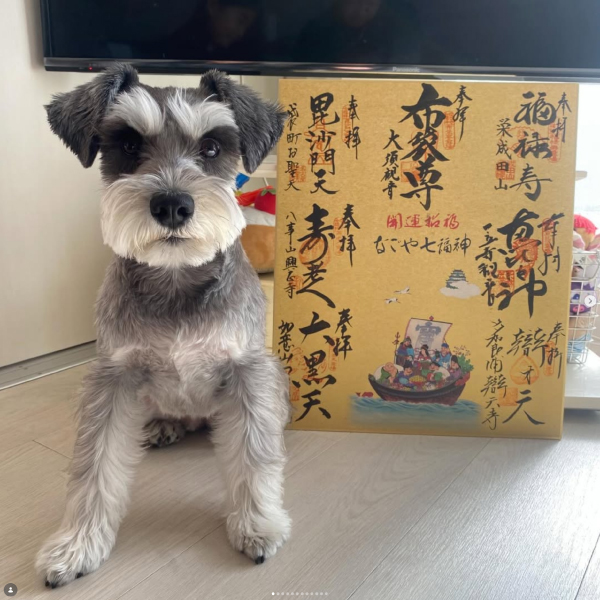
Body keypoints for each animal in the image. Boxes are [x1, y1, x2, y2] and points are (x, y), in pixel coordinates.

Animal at [36, 64, 291, 588]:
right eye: (128, 144)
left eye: (211, 147)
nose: (172, 205)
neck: (176, 281)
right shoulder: (112, 377)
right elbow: (93, 466)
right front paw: (76, 546)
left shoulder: (247, 371)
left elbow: (255, 455)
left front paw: (257, 525)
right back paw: (161, 425)